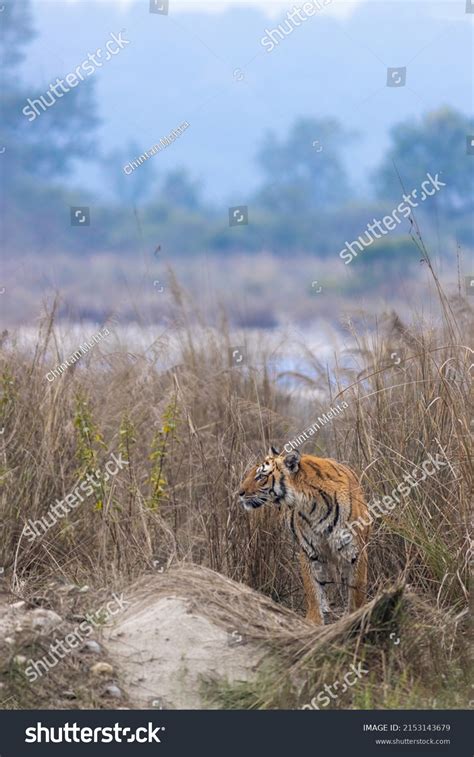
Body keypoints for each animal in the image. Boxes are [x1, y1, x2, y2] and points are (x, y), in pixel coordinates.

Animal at [237, 446, 370, 624]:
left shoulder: (355, 550)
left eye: (261, 477)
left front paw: (355, 615)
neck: (311, 504)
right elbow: (312, 588)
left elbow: (356, 590)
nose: (239, 493)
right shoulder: (309, 551)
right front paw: (314, 620)